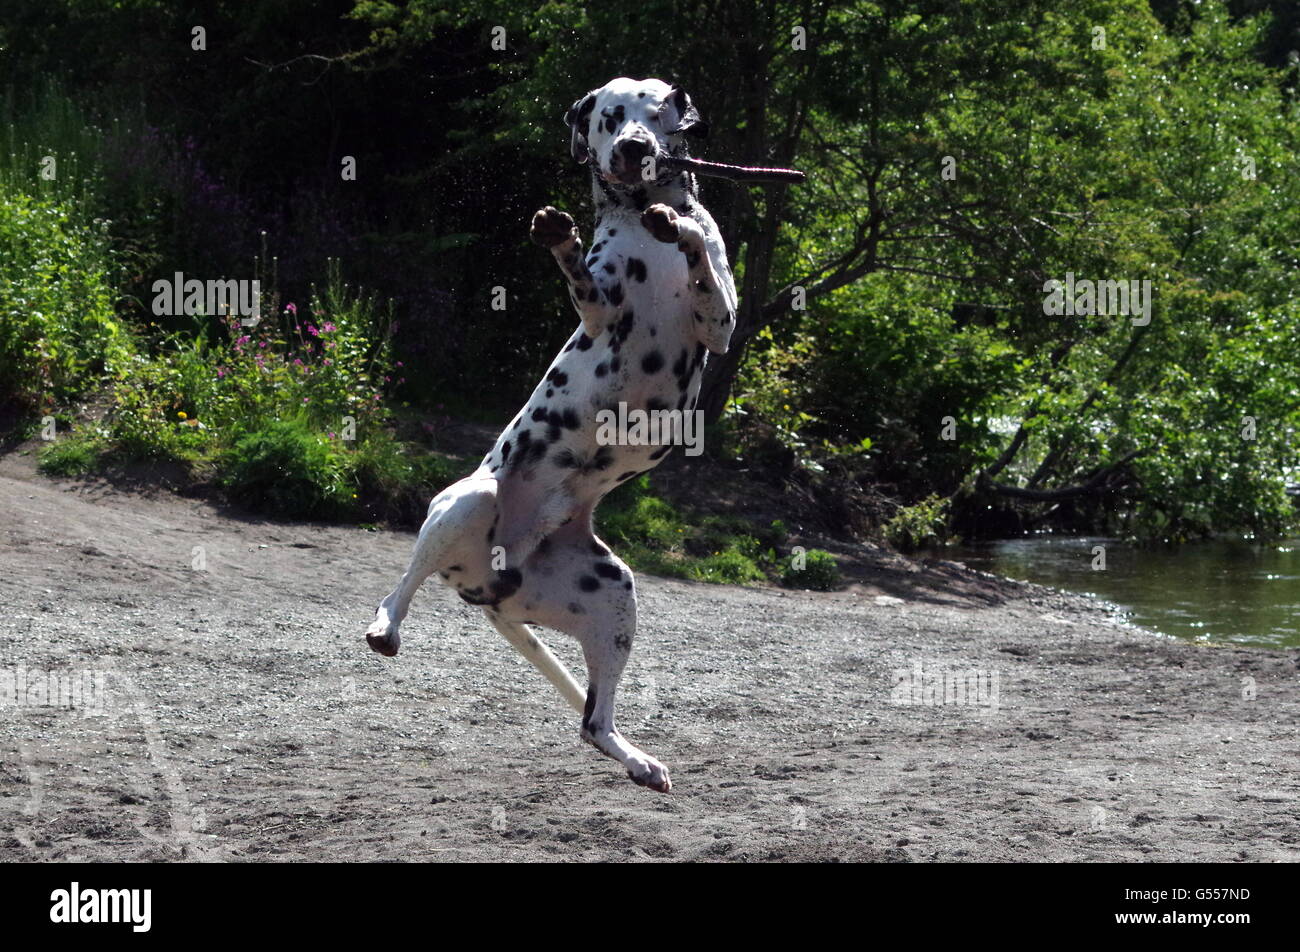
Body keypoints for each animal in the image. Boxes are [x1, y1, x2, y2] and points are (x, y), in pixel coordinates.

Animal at [366, 78, 738, 790]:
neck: (641, 225)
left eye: (659, 110)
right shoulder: (600, 312)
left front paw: (678, 227)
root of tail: (492, 586)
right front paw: (559, 239)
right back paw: (384, 626)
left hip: (614, 596)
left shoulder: (721, 320)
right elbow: (581, 280)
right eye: (611, 116)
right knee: (399, 586)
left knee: (594, 722)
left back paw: (636, 758)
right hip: (470, 501)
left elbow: (698, 259)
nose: (632, 148)